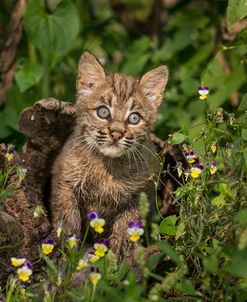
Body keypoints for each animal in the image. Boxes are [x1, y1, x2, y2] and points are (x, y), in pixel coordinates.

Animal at [51, 52, 169, 258]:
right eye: (103, 112)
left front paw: (118, 253)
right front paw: (68, 250)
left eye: (134, 118)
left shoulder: (140, 192)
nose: (116, 134)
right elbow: (68, 216)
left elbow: (127, 224)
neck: (107, 165)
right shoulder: (64, 180)